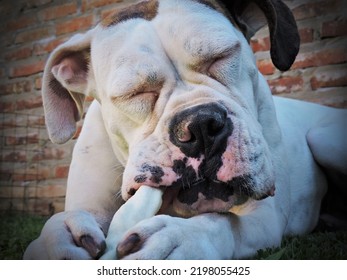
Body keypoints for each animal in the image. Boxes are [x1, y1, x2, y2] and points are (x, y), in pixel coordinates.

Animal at [24, 0, 347, 260]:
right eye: (134, 93)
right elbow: (58, 227)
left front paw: (180, 239)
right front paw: (57, 242)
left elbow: (222, 223)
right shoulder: (90, 206)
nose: (200, 125)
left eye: (222, 56)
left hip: (324, 141)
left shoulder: (266, 217)